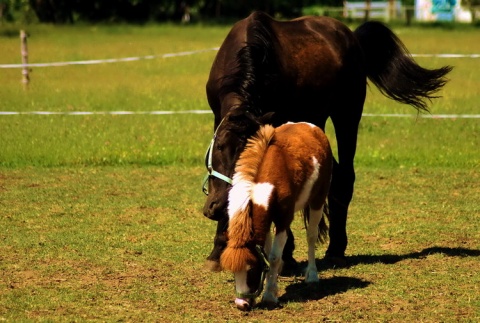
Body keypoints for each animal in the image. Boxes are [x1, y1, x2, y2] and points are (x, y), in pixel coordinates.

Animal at [202, 11, 450, 272]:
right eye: (220, 146)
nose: (219, 206)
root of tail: (352, 37)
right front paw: (218, 250)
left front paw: (285, 253)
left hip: (347, 115)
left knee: (346, 176)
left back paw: (336, 249)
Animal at [219, 121, 332, 312]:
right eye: (234, 272)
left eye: (252, 270)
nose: (242, 304)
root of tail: (313, 128)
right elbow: (267, 251)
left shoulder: (283, 220)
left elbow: (273, 256)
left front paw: (270, 296)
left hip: (318, 199)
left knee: (311, 236)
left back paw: (312, 275)